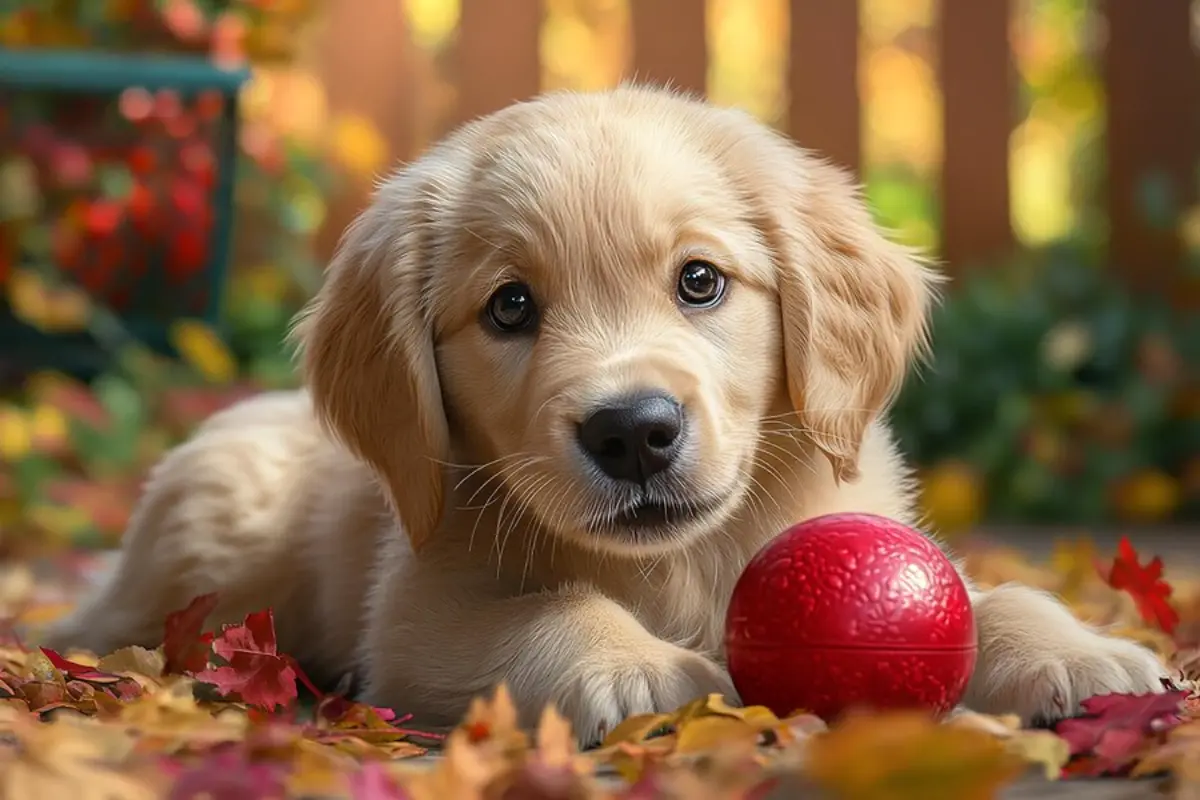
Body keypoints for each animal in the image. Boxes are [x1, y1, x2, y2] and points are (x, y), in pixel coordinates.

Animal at [49, 86, 1171, 743]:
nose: (633, 430)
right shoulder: (415, 616)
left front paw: (1079, 651)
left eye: (701, 280)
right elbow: (546, 609)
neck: (677, 565)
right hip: (209, 536)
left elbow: (991, 595)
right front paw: (635, 666)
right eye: (509, 306)